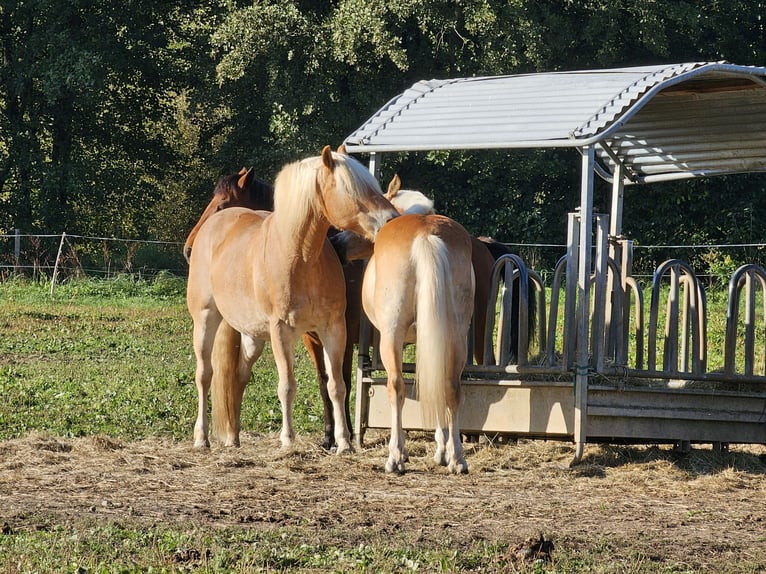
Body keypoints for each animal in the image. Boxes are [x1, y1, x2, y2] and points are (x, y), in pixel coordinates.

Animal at [186, 146, 399, 453]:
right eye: (352, 190)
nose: (391, 219)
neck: (301, 256)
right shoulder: (285, 332)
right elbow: (288, 385)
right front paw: (290, 439)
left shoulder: (334, 330)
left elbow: (337, 386)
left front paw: (344, 441)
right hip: (206, 320)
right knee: (204, 375)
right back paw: (202, 438)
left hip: (253, 337)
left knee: (239, 375)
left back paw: (234, 438)